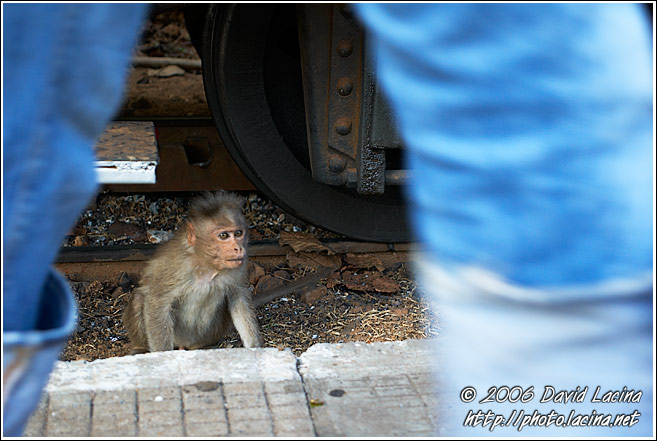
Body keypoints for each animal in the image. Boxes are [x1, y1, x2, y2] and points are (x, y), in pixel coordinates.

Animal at [122, 191, 263, 354]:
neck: (206, 264)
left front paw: (255, 348)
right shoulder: (175, 268)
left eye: (238, 233)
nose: (238, 248)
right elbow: (157, 302)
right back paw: (140, 348)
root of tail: (186, 344)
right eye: (224, 235)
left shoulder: (240, 266)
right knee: (140, 298)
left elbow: (238, 298)